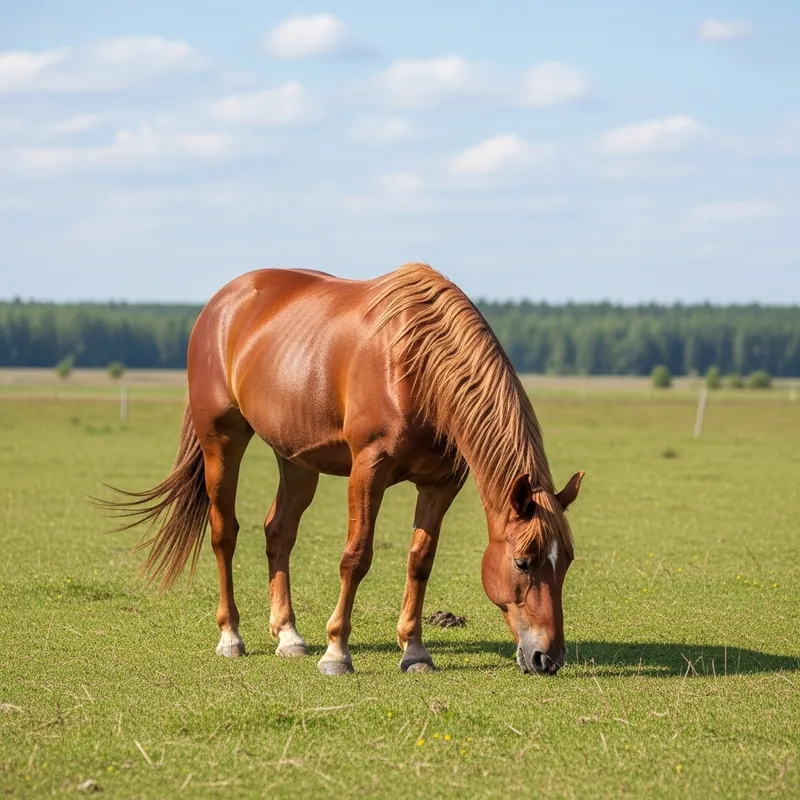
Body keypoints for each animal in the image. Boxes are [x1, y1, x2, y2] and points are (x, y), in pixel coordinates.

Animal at [102, 262, 583, 676]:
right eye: (523, 563)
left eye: (567, 562)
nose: (548, 657)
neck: (416, 364)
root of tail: (220, 304)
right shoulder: (368, 469)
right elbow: (356, 557)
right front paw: (337, 652)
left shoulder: (441, 483)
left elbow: (420, 561)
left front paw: (415, 651)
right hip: (221, 442)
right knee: (224, 534)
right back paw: (231, 637)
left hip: (296, 459)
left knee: (278, 532)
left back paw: (289, 636)